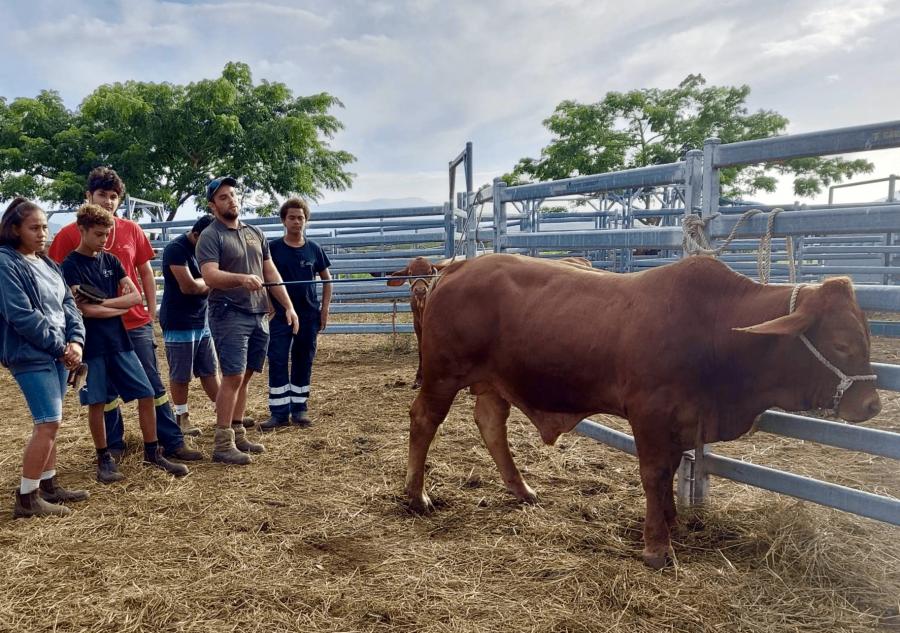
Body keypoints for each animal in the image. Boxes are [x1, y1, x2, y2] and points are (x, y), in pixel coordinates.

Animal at [404, 252, 884, 568]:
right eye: (841, 343)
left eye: (865, 337)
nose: (872, 404)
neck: (716, 330)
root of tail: (457, 267)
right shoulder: (650, 414)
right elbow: (653, 474)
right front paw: (657, 545)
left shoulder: (680, 422)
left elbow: (670, 471)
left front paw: (673, 521)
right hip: (443, 374)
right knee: (424, 421)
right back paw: (416, 495)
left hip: (494, 383)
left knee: (491, 426)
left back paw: (523, 490)